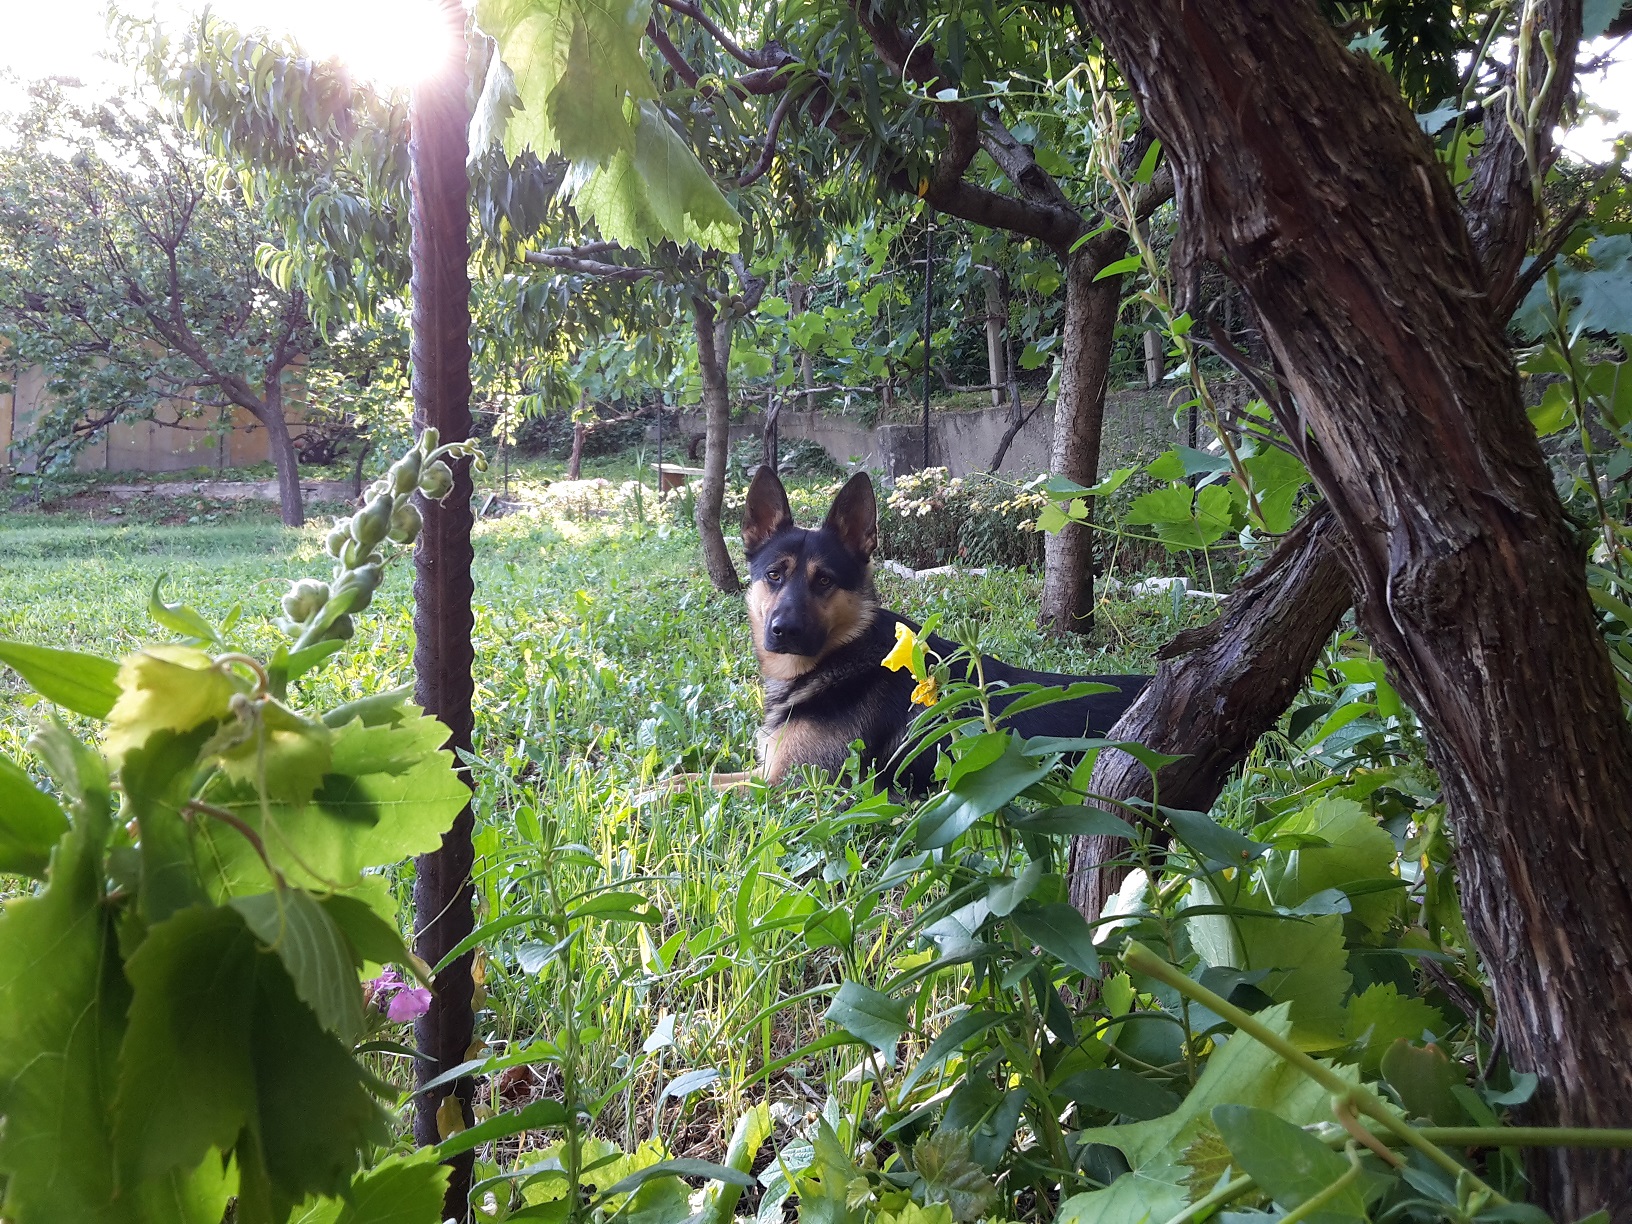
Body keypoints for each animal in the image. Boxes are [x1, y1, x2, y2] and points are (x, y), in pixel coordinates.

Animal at [721, 470, 1155, 796]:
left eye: (825, 580)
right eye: (774, 575)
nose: (784, 631)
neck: (844, 652)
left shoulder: (788, 783)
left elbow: (703, 785)